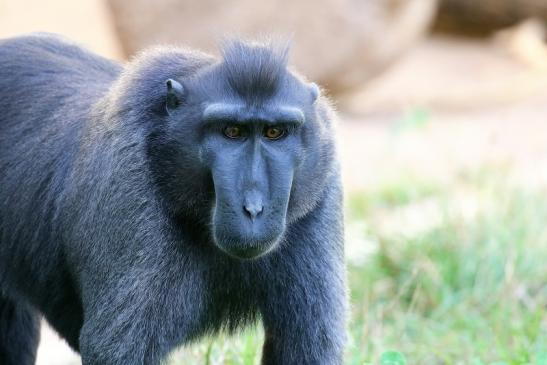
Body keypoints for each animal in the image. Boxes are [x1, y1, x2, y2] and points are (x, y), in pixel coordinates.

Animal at [0, 32, 348, 362]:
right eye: (231, 132)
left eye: (274, 133)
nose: (252, 209)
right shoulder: (131, 188)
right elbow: (116, 349)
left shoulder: (322, 190)